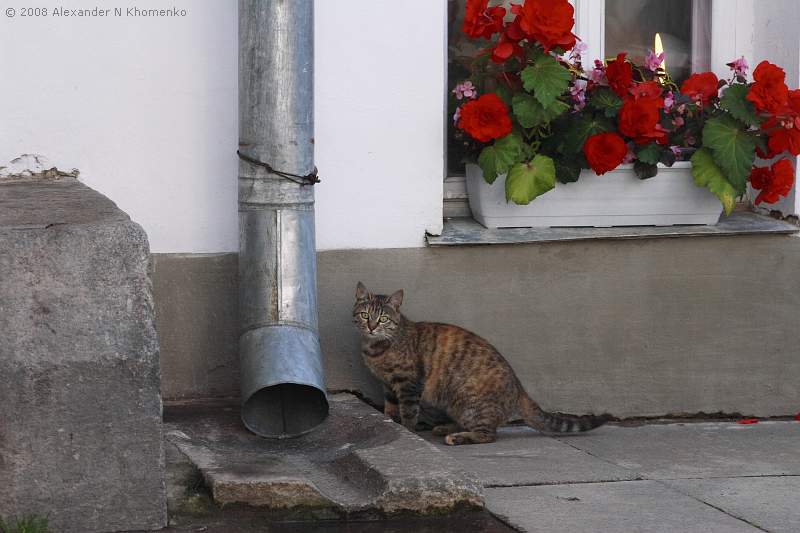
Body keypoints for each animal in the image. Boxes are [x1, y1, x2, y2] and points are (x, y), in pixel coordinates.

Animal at [354, 282, 608, 444]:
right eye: (365, 315)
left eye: (383, 318)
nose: (372, 327)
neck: (376, 348)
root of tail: (519, 387)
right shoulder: (388, 385)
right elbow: (390, 407)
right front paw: (390, 421)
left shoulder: (409, 384)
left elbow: (408, 412)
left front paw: (407, 431)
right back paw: (446, 428)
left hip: (470, 402)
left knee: (489, 434)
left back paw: (457, 437)